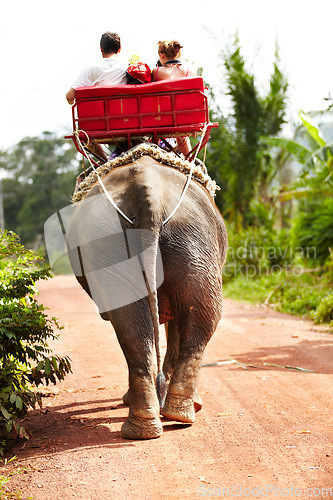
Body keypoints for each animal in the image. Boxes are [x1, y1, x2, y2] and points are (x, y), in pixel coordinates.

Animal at [66, 146, 227, 440]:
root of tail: (146, 188)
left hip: (168, 240)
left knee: (136, 328)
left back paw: (156, 421)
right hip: (190, 240)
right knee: (197, 321)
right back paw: (174, 415)